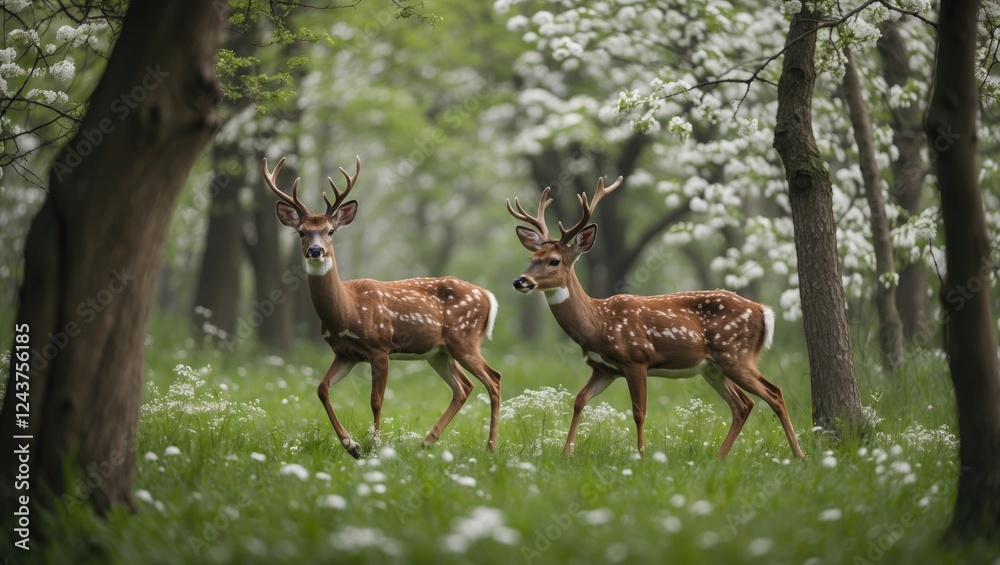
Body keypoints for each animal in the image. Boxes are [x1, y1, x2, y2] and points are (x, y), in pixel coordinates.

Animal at [263, 155, 502, 459]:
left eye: (330, 231)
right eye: (301, 232)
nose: (316, 251)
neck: (348, 311)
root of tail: (489, 296)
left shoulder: (380, 347)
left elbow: (376, 400)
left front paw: (374, 446)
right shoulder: (345, 353)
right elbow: (321, 389)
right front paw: (351, 445)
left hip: (465, 339)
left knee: (493, 379)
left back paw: (490, 447)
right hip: (439, 352)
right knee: (464, 387)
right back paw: (426, 442)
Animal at [506, 176, 805, 460]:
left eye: (554, 261)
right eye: (532, 257)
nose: (519, 281)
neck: (597, 324)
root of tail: (762, 311)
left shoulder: (636, 359)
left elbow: (639, 411)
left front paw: (640, 455)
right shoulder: (604, 369)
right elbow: (579, 400)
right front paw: (566, 453)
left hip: (736, 354)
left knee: (774, 393)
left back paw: (799, 455)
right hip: (713, 367)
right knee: (743, 404)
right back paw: (719, 458)